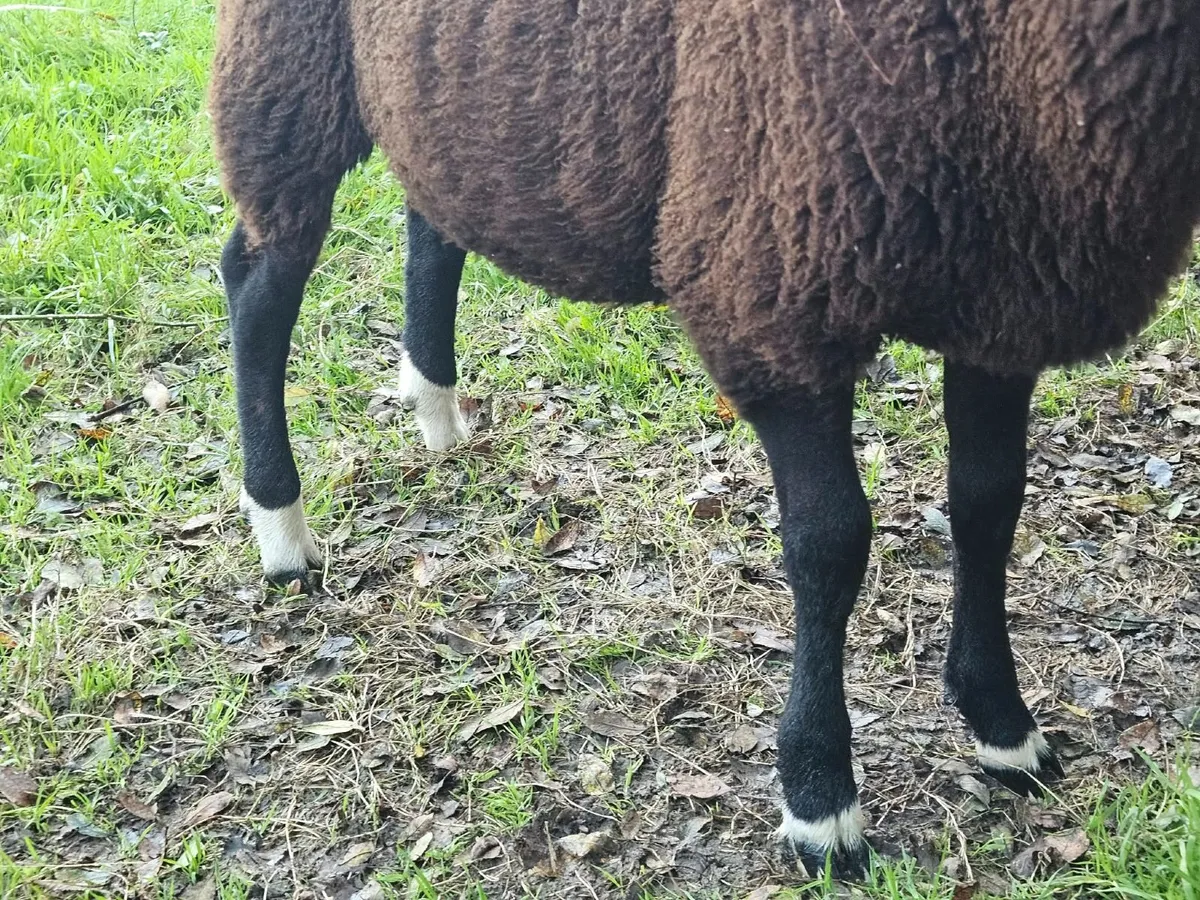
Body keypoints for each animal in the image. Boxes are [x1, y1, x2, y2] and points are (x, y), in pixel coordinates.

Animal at [209, 0, 1200, 880]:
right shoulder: (776, 283)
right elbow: (831, 545)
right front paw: (820, 804)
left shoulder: (1005, 294)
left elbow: (990, 505)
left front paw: (1003, 727)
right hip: (284, 67)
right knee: (259, 277)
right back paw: (282, 528)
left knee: (433, 212)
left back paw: (438, 414)